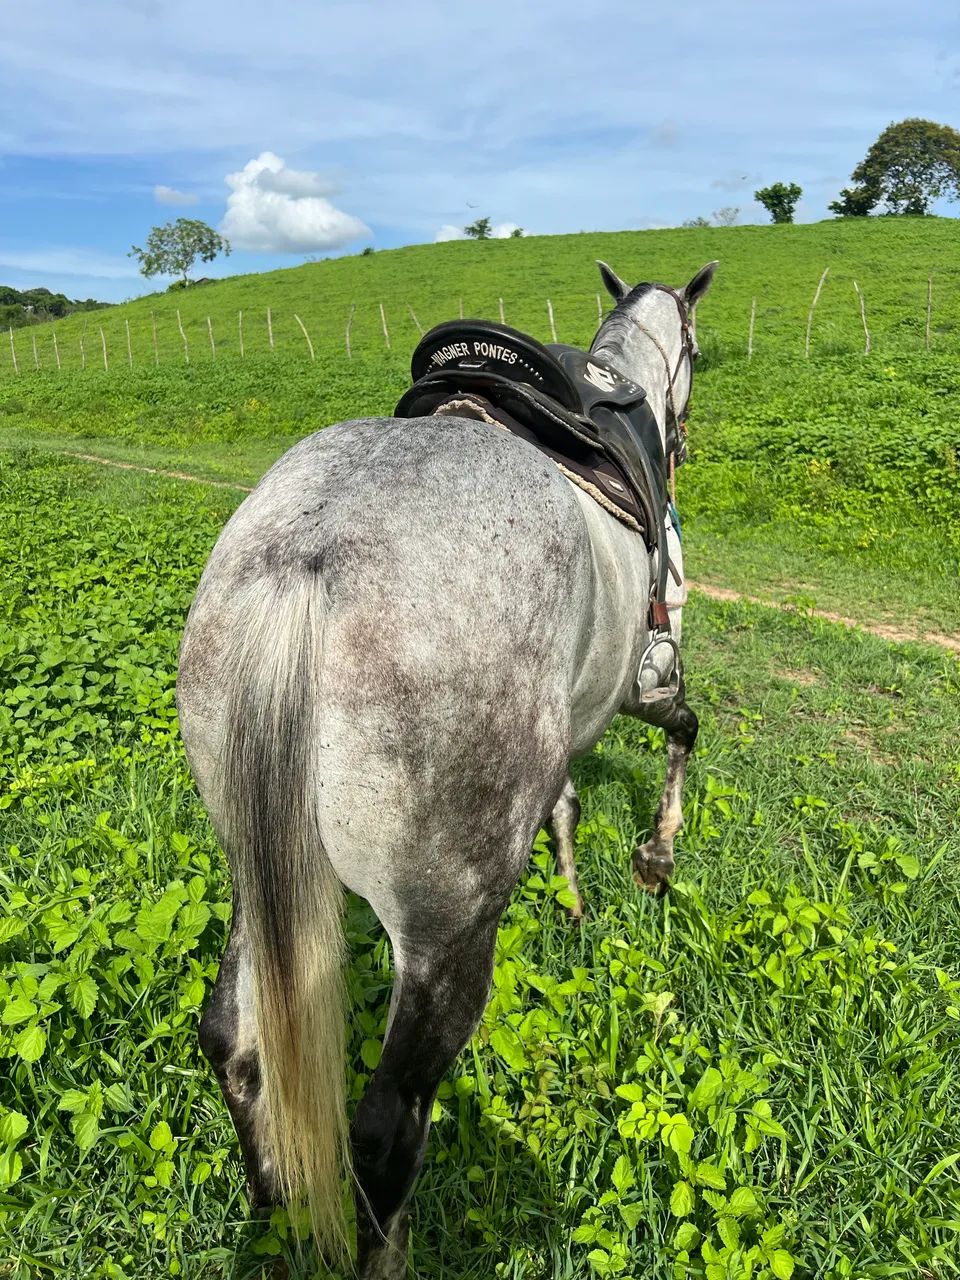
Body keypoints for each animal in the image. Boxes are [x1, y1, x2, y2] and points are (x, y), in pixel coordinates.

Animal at [175, 257, 717, 1278]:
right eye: (698, 353)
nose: (683, 443)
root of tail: (309, 558)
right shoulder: (642, 676)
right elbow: (685, 730)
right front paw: (655, 860)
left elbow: (566, 802)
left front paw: (575, 894)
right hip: (445, 937)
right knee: (387, 1131)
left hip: (256, 869)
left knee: (233, 1039)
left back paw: (274, 1222)